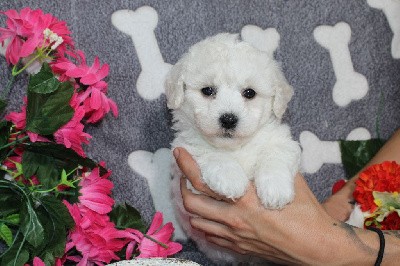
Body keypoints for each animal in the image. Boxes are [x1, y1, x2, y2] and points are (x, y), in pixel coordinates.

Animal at [165, 32, 300, 262]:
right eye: (207, 90)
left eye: (249, 93)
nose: (228, 119)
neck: (236, 148)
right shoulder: (186, 151)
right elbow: (210, 154)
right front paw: (230, 178)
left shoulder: (281, 141)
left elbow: (275, 155)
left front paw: (276, 189)